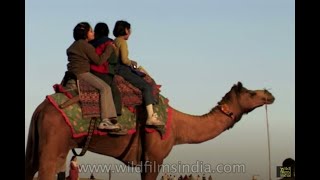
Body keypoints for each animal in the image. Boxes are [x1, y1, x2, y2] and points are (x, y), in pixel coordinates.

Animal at [25, 82, 276, 180]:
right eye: (251, 93)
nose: (269, 94)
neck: (178, 126)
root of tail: (41, 108)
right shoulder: (154, 156)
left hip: (41, 144)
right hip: (53, 142)